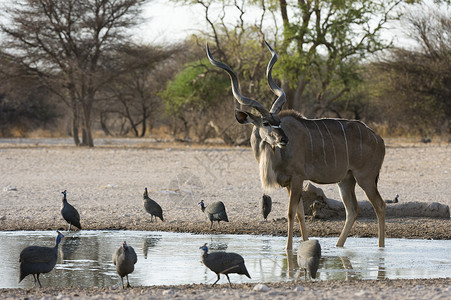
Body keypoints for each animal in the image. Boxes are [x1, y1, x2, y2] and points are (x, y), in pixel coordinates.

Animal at [207, 41, 386, 250]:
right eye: (266, 123)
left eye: (278, 122)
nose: (284, 140)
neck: (277, 155)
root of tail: (378, 138)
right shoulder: (288, 183)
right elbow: (300, 213)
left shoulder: (297, 178)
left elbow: (291, 212)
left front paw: (288, 249)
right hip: (346, 180)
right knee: (352, 210)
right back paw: (338, 246)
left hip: (365, 177)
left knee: (379, 205)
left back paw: (380, 248)